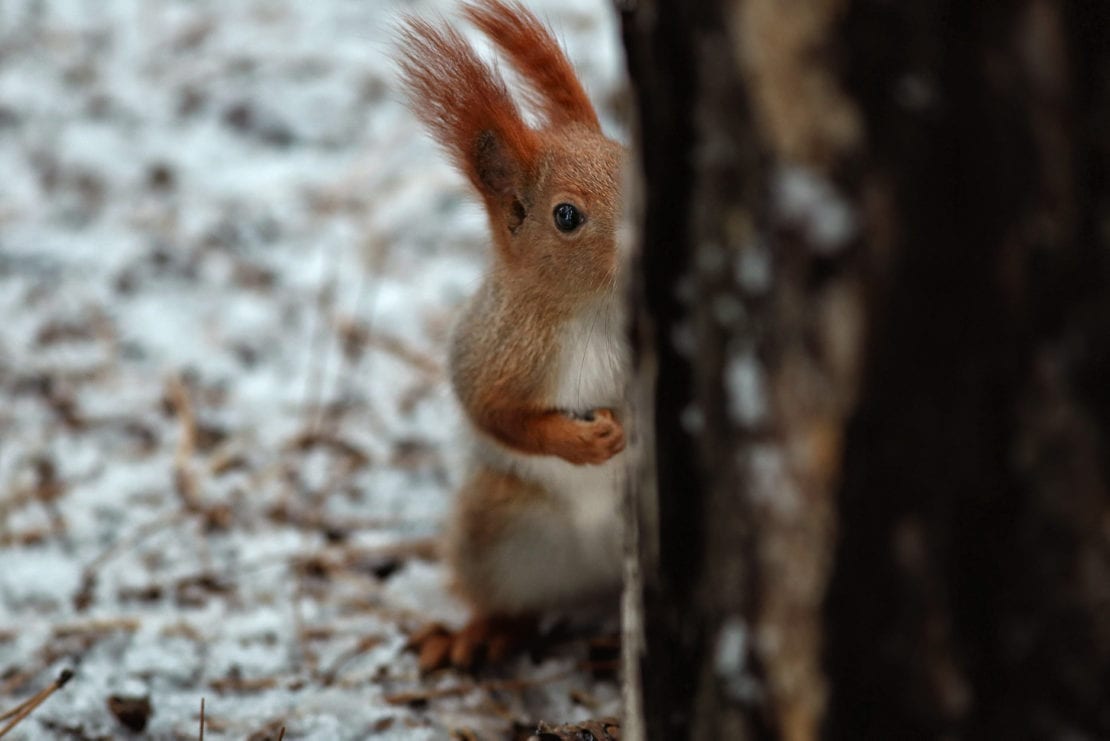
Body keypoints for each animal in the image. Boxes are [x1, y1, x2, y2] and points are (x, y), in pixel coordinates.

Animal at [397, 0, 626, 670]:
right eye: (567, 215)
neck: (592, 313)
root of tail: (592, 576)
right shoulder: (493, 347)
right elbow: (494, 412)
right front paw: (579, 441)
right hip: (493, 529)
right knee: (508, 601)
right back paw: (482, 633)